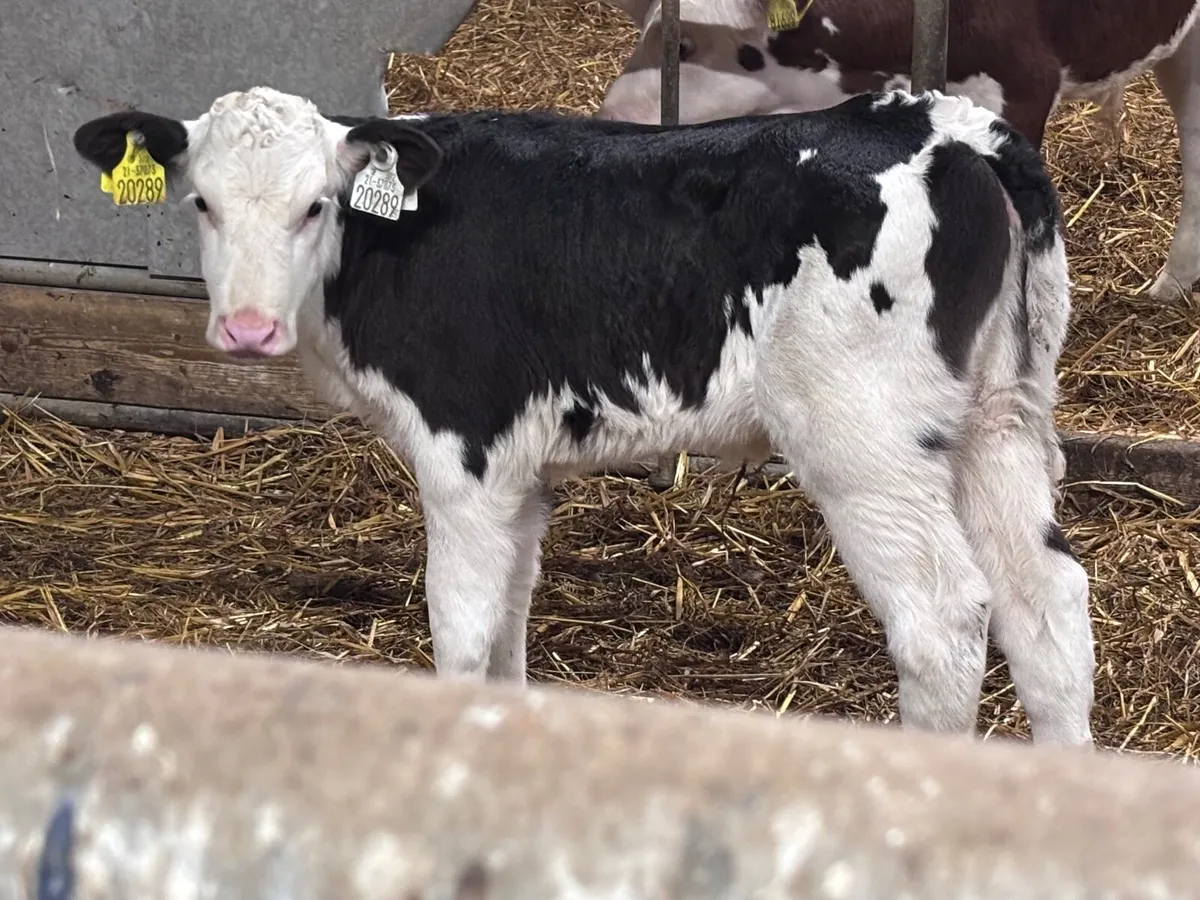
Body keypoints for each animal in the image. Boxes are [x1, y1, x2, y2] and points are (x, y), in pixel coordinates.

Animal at [73, 84, 1095, 746]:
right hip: (1000, 419)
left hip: (866, 443)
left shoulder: (466, 452)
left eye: (315, 206)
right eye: (201, 202)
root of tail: (950, 125)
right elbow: (511, 623)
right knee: (1046, 606)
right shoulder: (522, 472)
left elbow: (462, 630)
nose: (246, 328)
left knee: (942, 618)